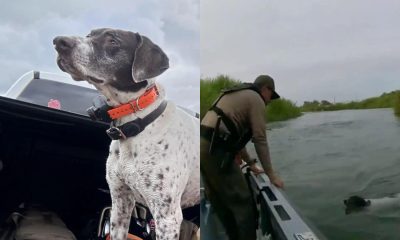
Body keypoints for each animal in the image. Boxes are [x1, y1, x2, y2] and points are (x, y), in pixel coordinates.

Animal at [53, 28, 200, 240]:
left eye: (113, 41)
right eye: (89, 35)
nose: (59, 41)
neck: (136, 126)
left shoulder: (167, 217)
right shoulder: (120, 202)